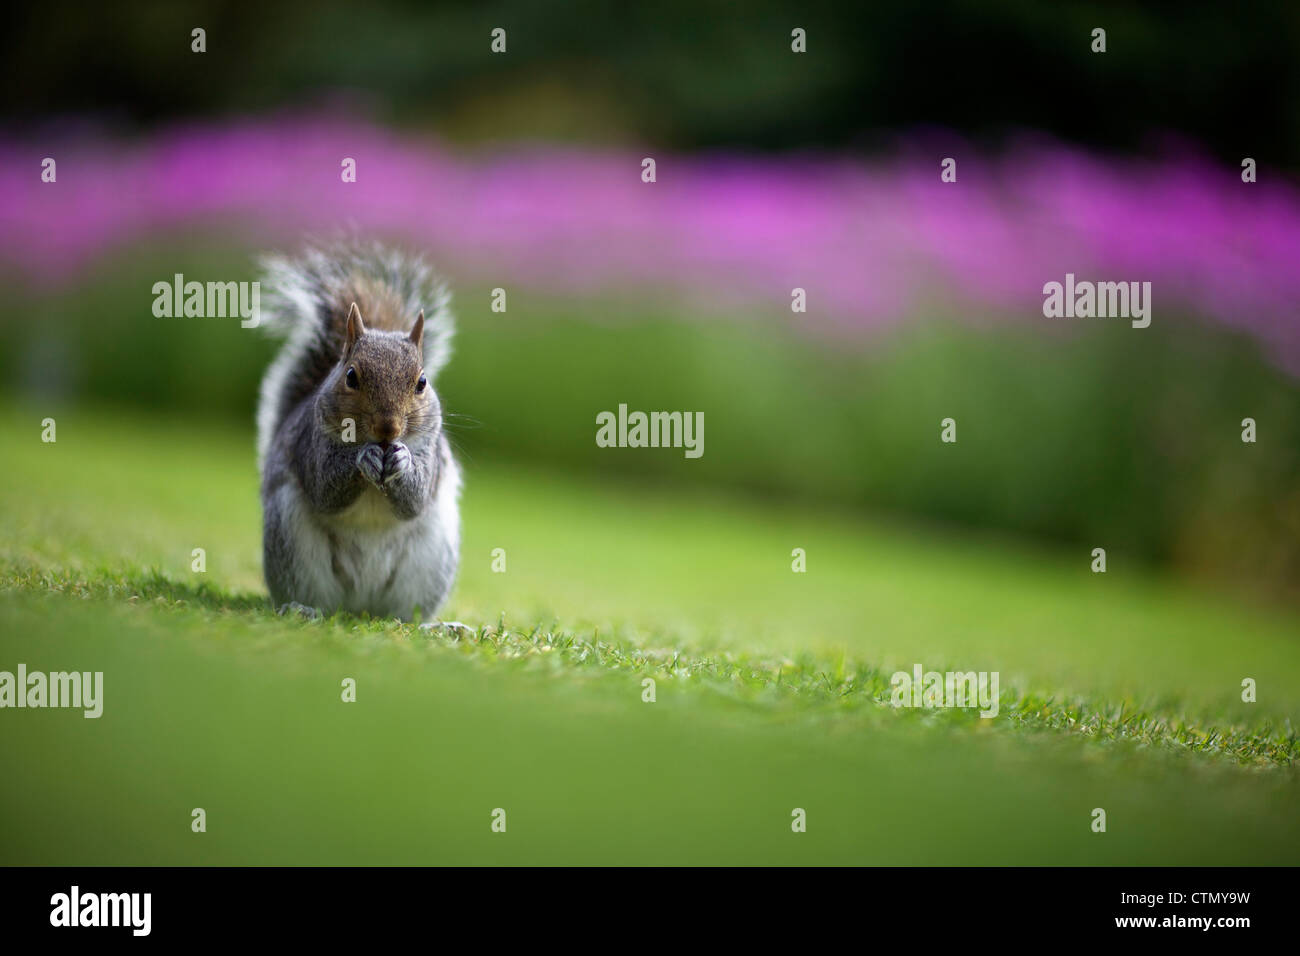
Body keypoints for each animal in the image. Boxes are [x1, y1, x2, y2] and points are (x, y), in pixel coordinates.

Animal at [254, 243, 462, 621]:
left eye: (422, 382)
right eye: (351, 376)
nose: (388, 428)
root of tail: (359, 608)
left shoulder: (432, 451)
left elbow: (416, 499)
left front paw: (403, 461)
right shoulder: (311, 443)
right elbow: (324, 488)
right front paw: (361, 459)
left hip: (430, 558)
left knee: (404, 615)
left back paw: (434, 626)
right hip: (292, 543)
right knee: (313, 594)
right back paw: (302, 608)